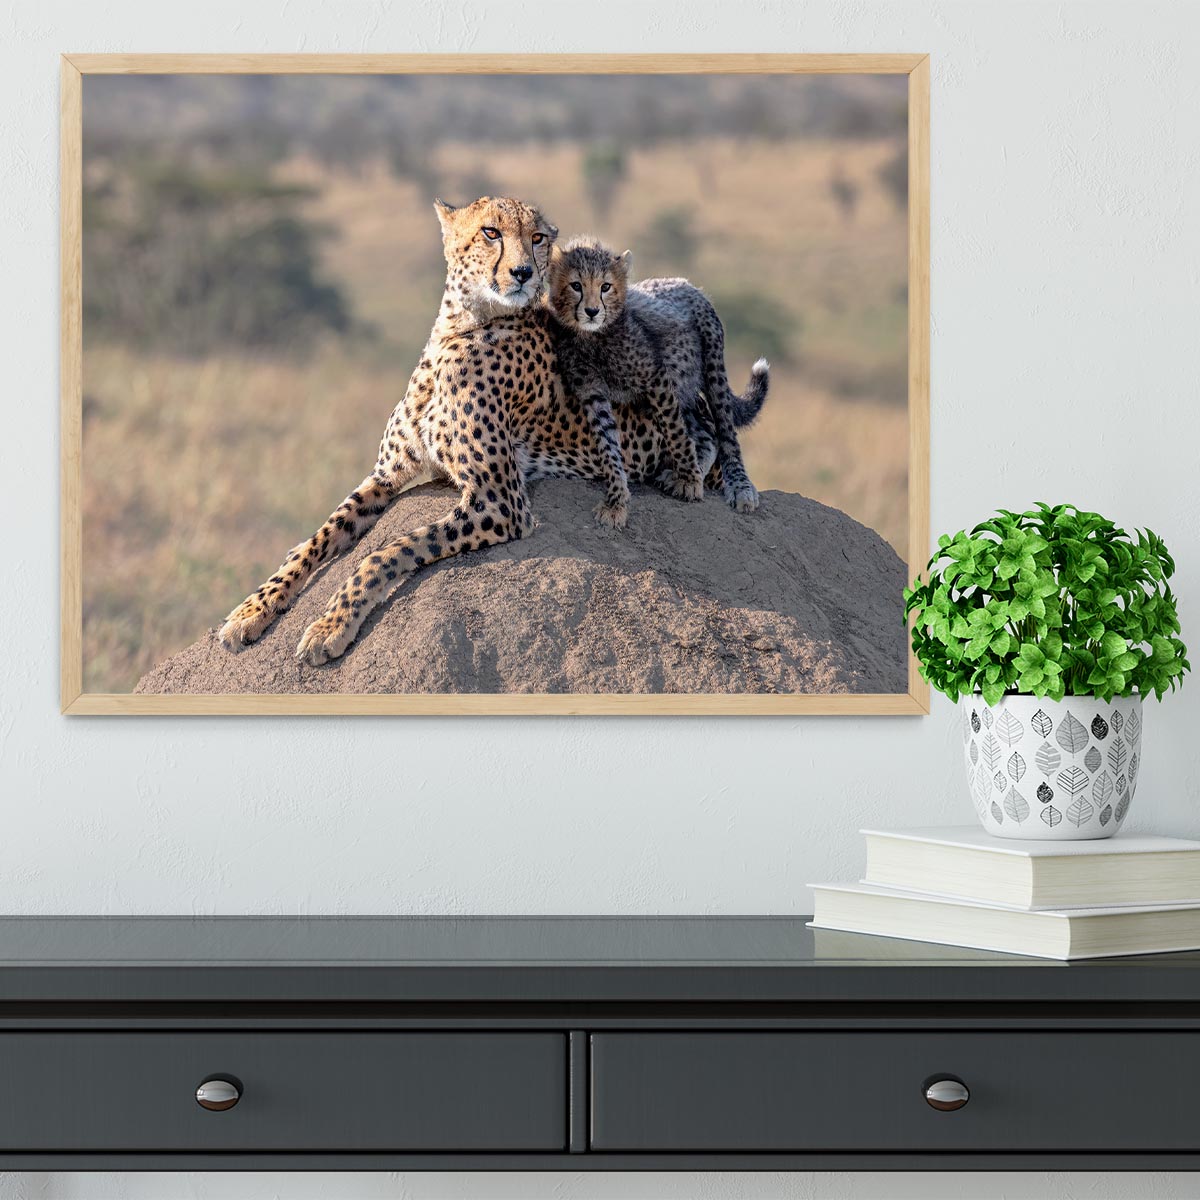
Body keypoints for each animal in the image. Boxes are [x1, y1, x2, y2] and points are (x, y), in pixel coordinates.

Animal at [218, 197, 687, 666]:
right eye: (491, 232)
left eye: (537, 237)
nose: (523, 272)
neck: (461, 326)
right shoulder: (385, 476)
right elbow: (322, 534)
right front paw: (254, 608)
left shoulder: (501, 502)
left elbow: (389, 550)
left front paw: (331, 625)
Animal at [547, 237, 771, 516]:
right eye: (576, 286)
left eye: (605, 287)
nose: (591, 311)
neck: (592, 337)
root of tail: (684, 282)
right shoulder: (592, 393)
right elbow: (608, 444)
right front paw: (616, 500)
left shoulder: (656, 379)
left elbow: (676, 433)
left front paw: (690, 481)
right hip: (681, 386)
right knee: (705, 432)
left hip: (711, 367)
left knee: (725, 430)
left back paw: (739, 486)